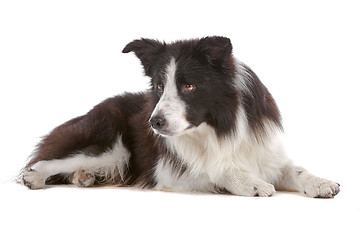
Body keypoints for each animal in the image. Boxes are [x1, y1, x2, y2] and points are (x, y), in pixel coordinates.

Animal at [20, 35, 340, 197]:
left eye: (189, 86)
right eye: (160, 87)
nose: (154, 123)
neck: (218, 126)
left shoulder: (264, 152)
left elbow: (296, 170)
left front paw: (321, 183)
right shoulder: (167, 170)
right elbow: (214, 168)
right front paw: (251, 183)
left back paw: (84, 177)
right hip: (112, 146)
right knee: (46, 161)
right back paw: (35, 177)